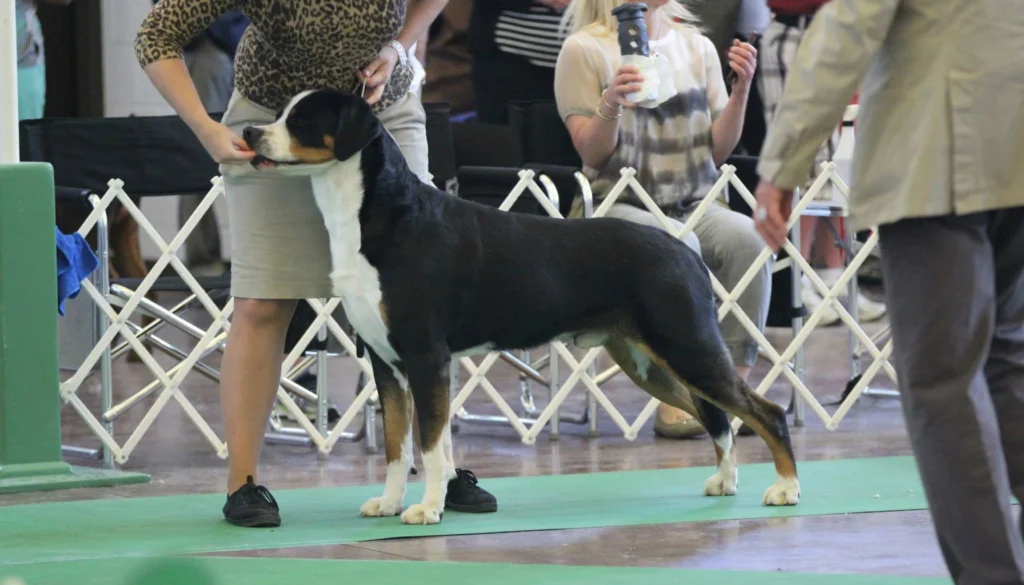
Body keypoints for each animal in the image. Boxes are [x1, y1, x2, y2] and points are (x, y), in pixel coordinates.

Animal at [241, 88, 798, 524]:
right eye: (279, 113)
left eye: (301, 120)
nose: (249, 132)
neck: (378, 217)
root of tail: (685, 249)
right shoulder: (386, 362)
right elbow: (399, 445)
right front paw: (390, 503)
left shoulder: (426, 357)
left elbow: (430, 444)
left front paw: (427, 509)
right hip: (646, 360)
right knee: (713, 414)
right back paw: (725, 481)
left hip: (687, 346)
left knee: (763, 412)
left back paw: (786, 489)